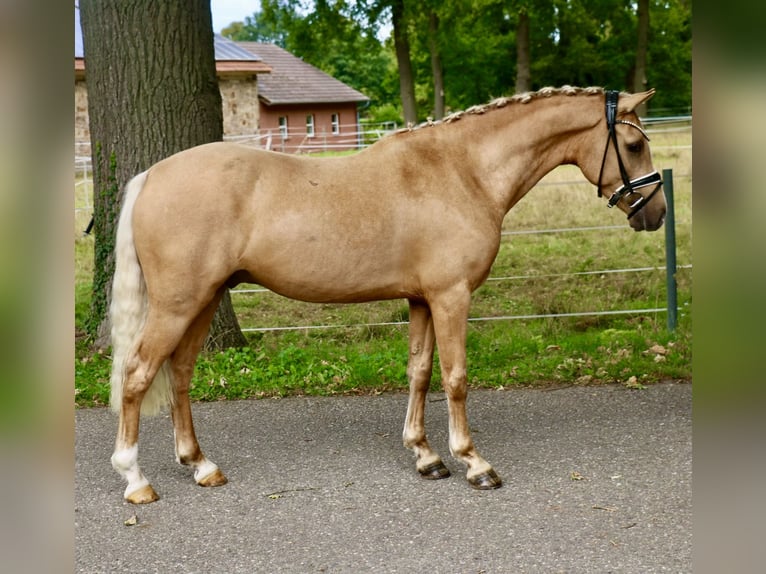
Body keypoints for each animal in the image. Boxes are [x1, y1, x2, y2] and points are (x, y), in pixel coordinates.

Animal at [108, 86, 666, 503]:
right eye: (633, 145)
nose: (655, 214)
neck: (461, 170)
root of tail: (152, 175)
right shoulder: (451, 296)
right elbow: (455, 377)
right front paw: (473, 462)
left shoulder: (422, 299)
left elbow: (419, 372)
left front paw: (426, 456)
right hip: (178, 305)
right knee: (138, 375)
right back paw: (136, 479)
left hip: (202, 302)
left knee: (179, 374)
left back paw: (200, 465)